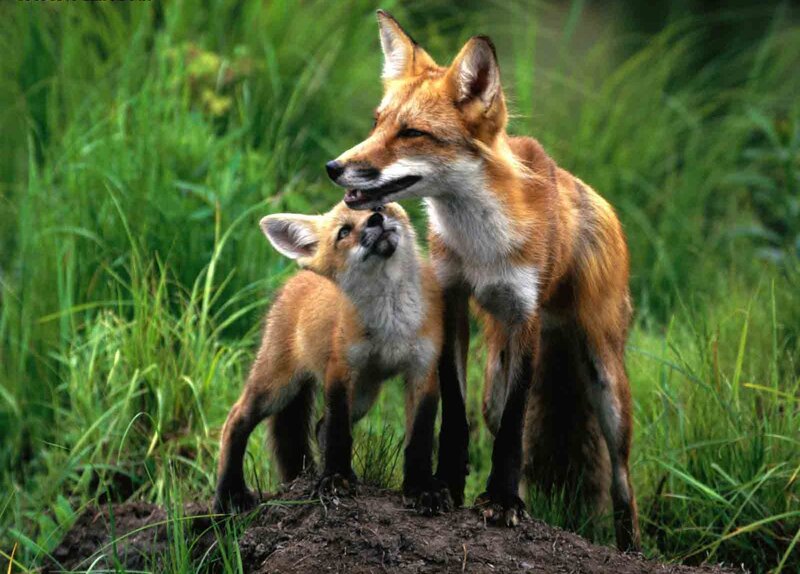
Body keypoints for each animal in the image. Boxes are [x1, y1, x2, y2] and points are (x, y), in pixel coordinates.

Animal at [214, 202, 451, 516]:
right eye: (344, 232)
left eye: (379, 205)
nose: (376, 219)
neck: (391, 321)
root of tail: (296, 277)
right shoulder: (341, 368)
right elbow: (340, 431)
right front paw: (336, 478)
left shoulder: (423, 370)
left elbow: (420, 438)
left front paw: (422, 487)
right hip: (277, 388)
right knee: (235, 420)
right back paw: (230, 494)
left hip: (363, 395)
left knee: (319, 426)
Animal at [324, 10, 640, 550]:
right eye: (377, 122)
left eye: (411, 132)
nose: (334, 167)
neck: (481, 248)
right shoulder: (452, 299)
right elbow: (456, 412)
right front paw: (445, 485)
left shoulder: (525, 316)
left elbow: (514, 426)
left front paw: (502, 502)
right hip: (495, 373)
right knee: (504, 427)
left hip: (606, 381)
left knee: (622, 482)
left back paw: (629, 547)